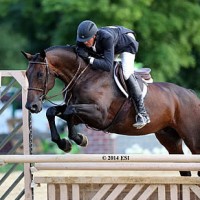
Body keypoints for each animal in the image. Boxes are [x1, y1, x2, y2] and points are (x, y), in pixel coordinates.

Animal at [22, 45, 200, 177]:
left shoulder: (100, 116)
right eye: (26, 74)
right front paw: (65, 143)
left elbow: (69, 112)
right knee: (184, 168)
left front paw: (78, 139)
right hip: (169, 138)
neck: (83, 77)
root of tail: (191, 94)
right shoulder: (83, 115)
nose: (31, 106)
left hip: (192, 138)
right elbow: (52, 112)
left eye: (40, 74)